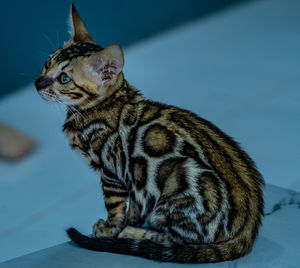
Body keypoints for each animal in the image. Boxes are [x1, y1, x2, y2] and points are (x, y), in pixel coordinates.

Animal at [35, 4, 264, 264]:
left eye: (64, 78)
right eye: (47, 62)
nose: (38, 83)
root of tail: (250, 227)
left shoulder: (110, 170)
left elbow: (114, 205)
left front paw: (111, 228)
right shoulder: (133, 177)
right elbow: (135, 203)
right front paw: (132, 219)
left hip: (179, 182)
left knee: (178, 243)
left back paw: (134, 234)